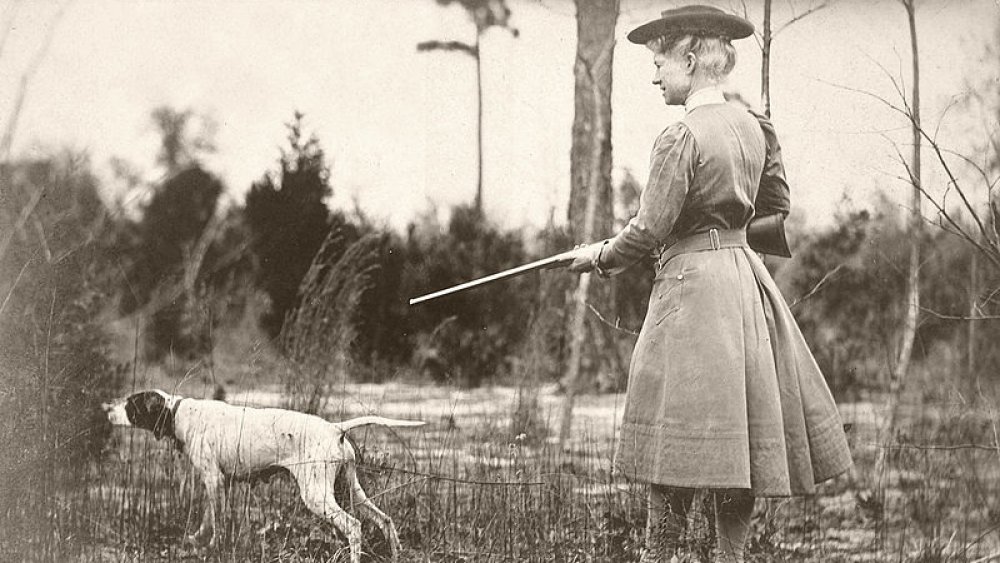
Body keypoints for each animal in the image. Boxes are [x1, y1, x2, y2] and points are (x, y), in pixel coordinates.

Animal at [103, 390, 424, 560]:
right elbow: (209, 516)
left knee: (354, 526)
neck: (179, 413)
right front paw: (199, 540)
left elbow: (217, 521)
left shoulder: (214, 479)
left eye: (130, 404)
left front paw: (212, 547)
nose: (106, 409)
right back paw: (396, 555)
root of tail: (335, 428)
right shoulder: (219, 483)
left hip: (317, 496)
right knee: (384, 520)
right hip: (351, 489)